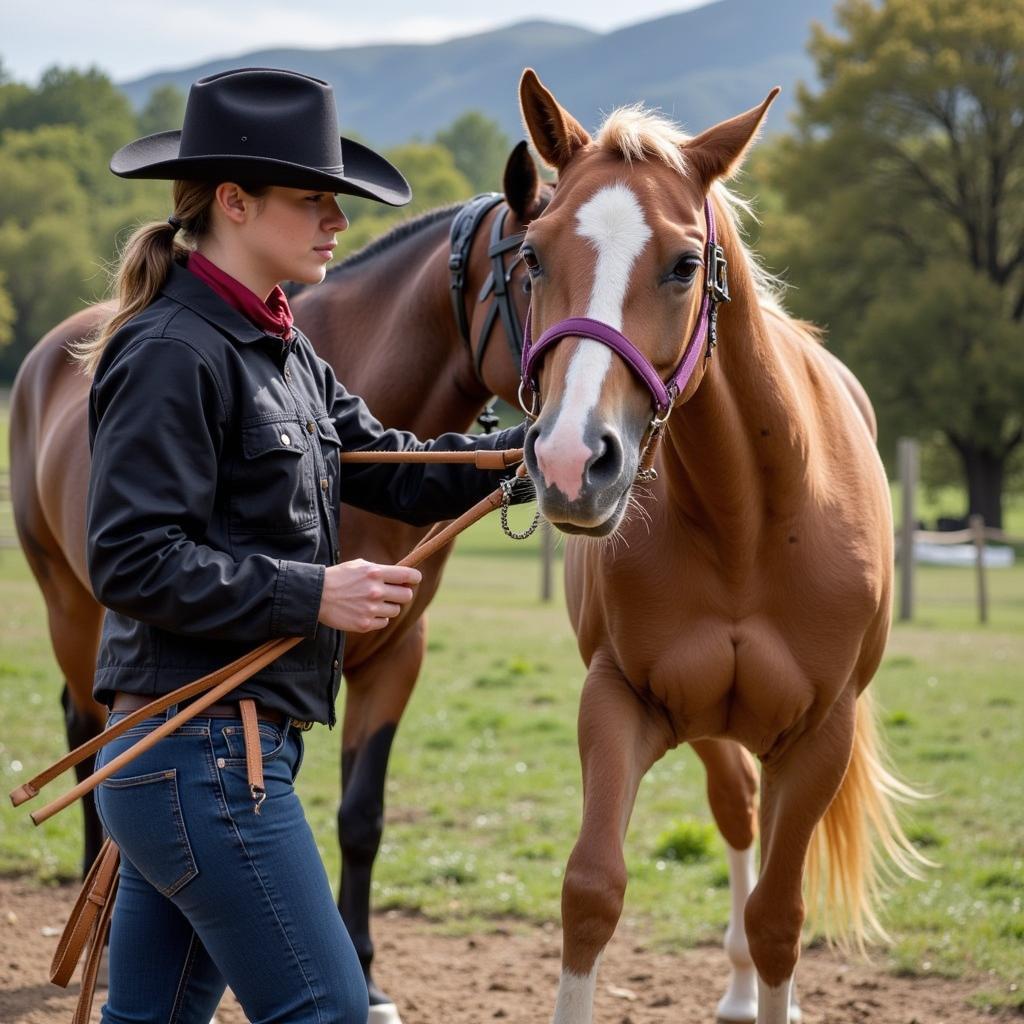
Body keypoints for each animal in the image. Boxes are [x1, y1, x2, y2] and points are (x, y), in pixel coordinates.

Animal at [516, 72, 925, 1024]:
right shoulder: (620, 700)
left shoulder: (818, 737)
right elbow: (591, 890)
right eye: (535, 256)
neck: (750, 523)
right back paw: (739, 990)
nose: (570, 460)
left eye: (683, 265)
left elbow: (780, 917)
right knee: (737, 810)